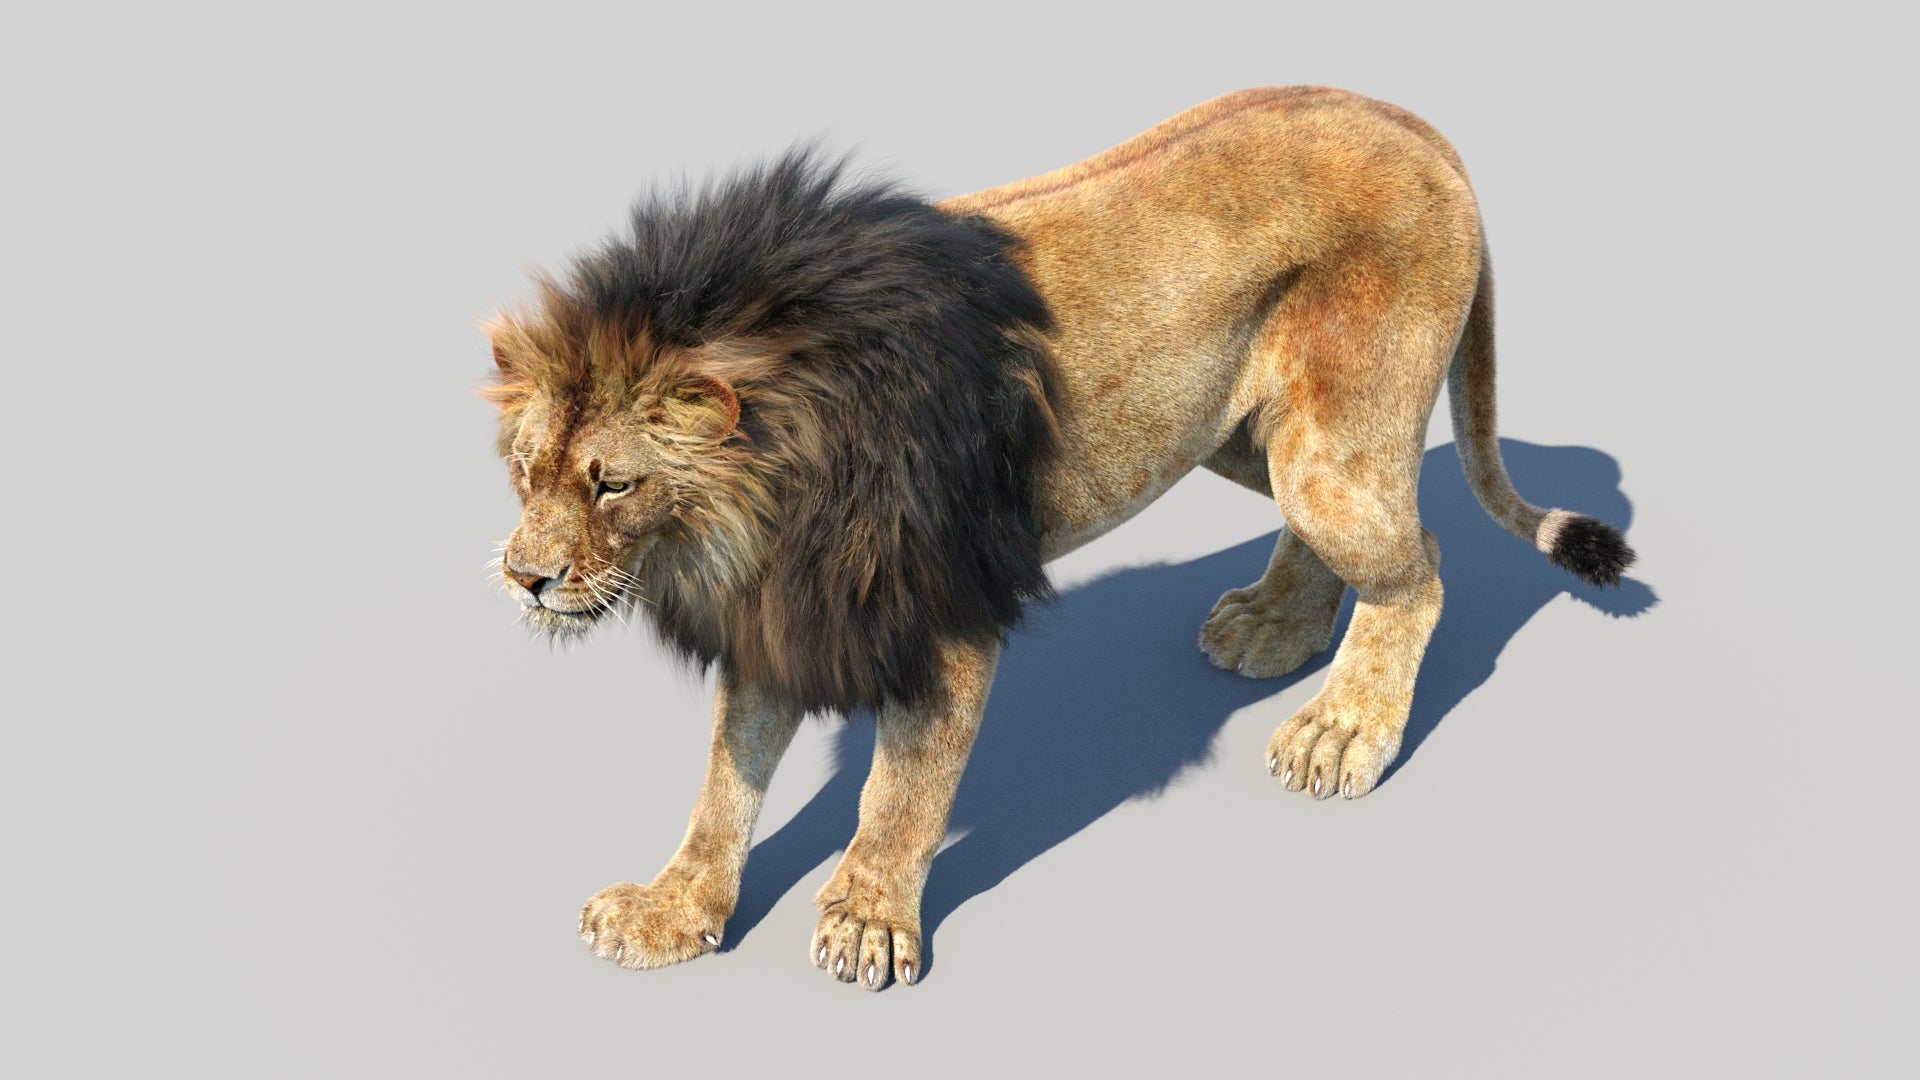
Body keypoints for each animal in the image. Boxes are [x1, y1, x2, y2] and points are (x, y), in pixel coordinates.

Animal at [481, 86, 1634, 990]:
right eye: (525, 471)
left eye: (613, 483)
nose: (524, 578)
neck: (757, 513)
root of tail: (1414, 123)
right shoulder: (784, 613)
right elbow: (726, 782)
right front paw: (671, 911)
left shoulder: (941, 610)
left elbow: (901, 789)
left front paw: (868, 921)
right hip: (1237, 433)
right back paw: (1274, 628)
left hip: (1331, 453)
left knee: (1422, 563)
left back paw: (1341, 729)